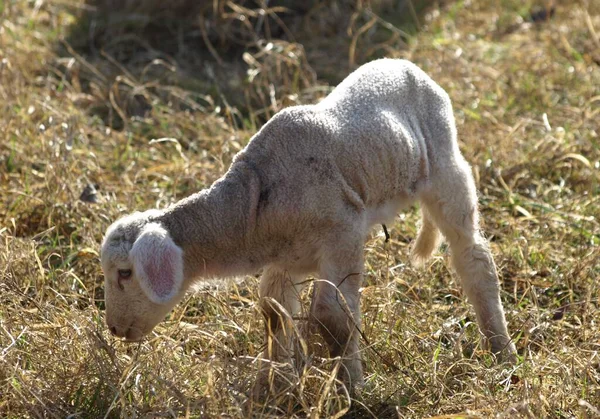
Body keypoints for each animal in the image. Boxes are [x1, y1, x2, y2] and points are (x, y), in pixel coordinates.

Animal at [101, 58, 516, 398]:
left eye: (125, 273)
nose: (115, 330)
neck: (253, 204)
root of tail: (407, 65)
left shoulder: (344, 234)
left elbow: (334, 316)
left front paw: (351, 389)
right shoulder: (286, 258)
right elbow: (273, 311)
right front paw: (278, 384)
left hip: (446, 166)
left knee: (473, 257)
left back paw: (502, 351)